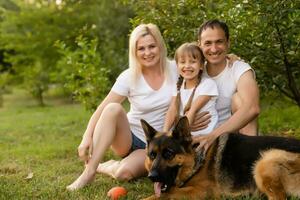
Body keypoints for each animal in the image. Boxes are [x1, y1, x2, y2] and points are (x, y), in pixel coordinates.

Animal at [141, 116, 300, 199]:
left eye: (169, 154)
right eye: (152, 155)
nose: (151, 177)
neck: (197, 161)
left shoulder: (202, 192)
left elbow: (166, 194)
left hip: (265, 160)